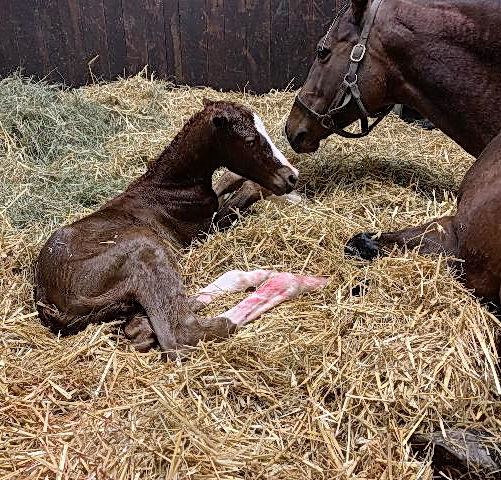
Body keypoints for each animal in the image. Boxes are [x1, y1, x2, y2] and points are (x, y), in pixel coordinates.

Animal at [33, 100, 326, 356]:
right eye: (251, 141)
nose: (292, 177)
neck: (170, 187)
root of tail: (53, 306)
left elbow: (229, 181)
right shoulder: (205, 229)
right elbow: (249, 189)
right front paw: (293, 198)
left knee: (142, 324)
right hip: (144, 247)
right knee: (183, 334)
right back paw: (290, 280)